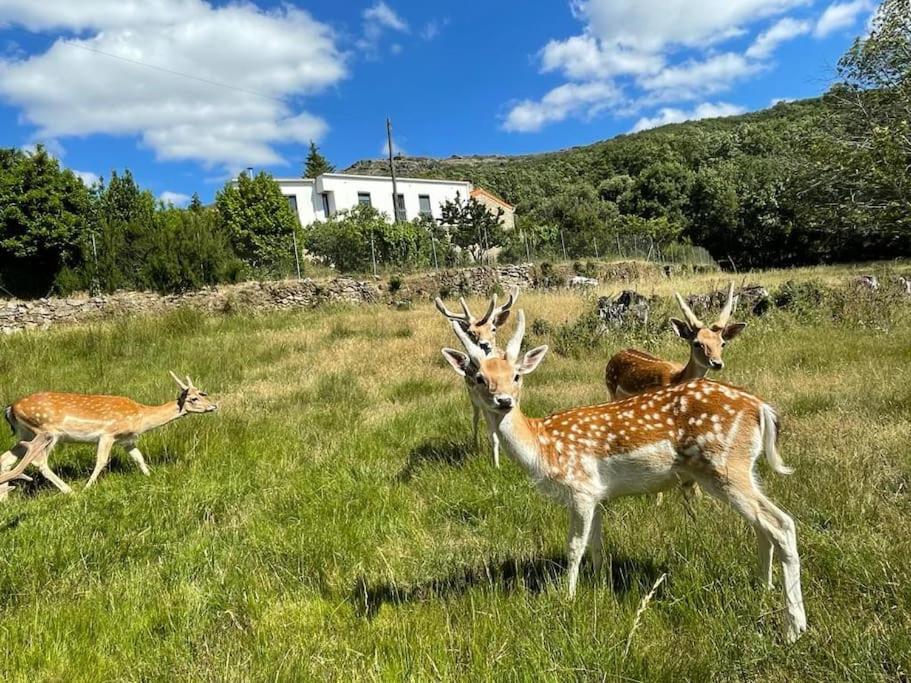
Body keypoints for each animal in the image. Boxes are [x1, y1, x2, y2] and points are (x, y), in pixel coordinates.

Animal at [2, 372, 218, 494]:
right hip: (46, 431)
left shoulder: (127, 440)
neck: (140, 417)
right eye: (193, 398)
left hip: (26, 434)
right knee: (40, 463)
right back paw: (70, 491)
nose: (214, 405)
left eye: (202, 394)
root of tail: (10, 408)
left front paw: (150, 475)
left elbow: (139, 458)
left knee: (6, 458)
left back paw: (6, 496)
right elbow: (101, 461)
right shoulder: (108, 434)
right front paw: (88, 487)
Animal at [436, 286, 520, 468]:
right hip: (473, 399)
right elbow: (493, 435)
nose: (484, 345)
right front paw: (496, 464)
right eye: (471, 333)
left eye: (493, 328)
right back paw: (475, 444)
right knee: (475, 419)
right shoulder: (484, 403)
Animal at [442, 312, 804, 644]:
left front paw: (567, 598)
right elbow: (597, 544)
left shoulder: (580, 488)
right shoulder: (597, 494)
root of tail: (761, 408)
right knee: (763, 524)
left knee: (781, 523)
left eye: (516, 375)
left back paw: (793, 628)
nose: (504, 401)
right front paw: (600, 586)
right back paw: (762, 588)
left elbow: (574, 546)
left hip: (724, 466)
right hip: (742, 468)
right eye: (479, 377)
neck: (543, 446)